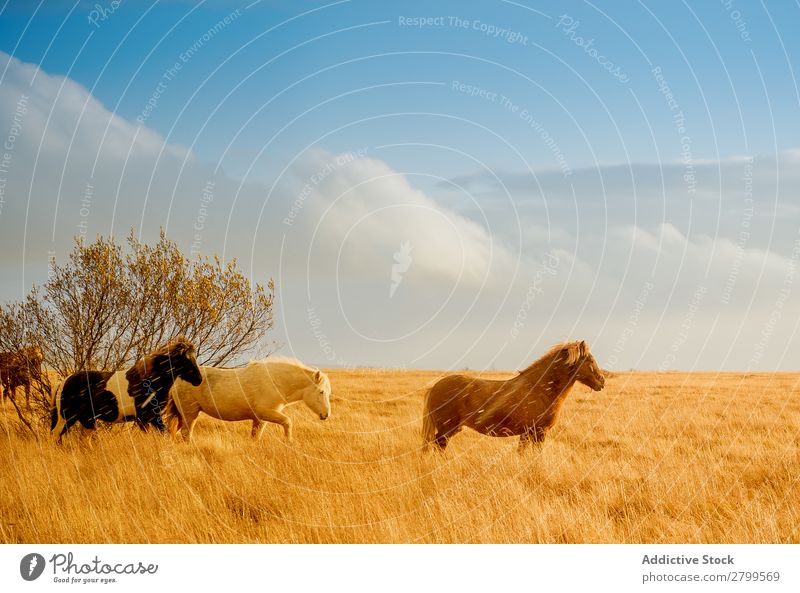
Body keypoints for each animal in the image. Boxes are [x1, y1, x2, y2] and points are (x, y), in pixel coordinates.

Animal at [50, 336, 202, 442]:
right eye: (184, 360)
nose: (199, 379)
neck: (149, 381)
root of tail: (63, 382)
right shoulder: (144, 418)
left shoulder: (154, 416)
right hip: (66, 418)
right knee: (56, 436)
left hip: (87, 420)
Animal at [166, 356, 332, 440]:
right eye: (321, 392)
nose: (326, 415)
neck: (275, 381)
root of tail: (177, 379)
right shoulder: (265, 413)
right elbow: (288, 422)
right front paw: (288, 441)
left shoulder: (260, 420)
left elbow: (255, 437)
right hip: (189, 414)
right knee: (186, 434)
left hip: (184, 415)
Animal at [422, 340, 604, 450]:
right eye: (590, 360)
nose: (601, 381)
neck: (541, 390)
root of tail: (435, 387)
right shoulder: (538, 433)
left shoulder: (527, 434)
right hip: (446, 429)